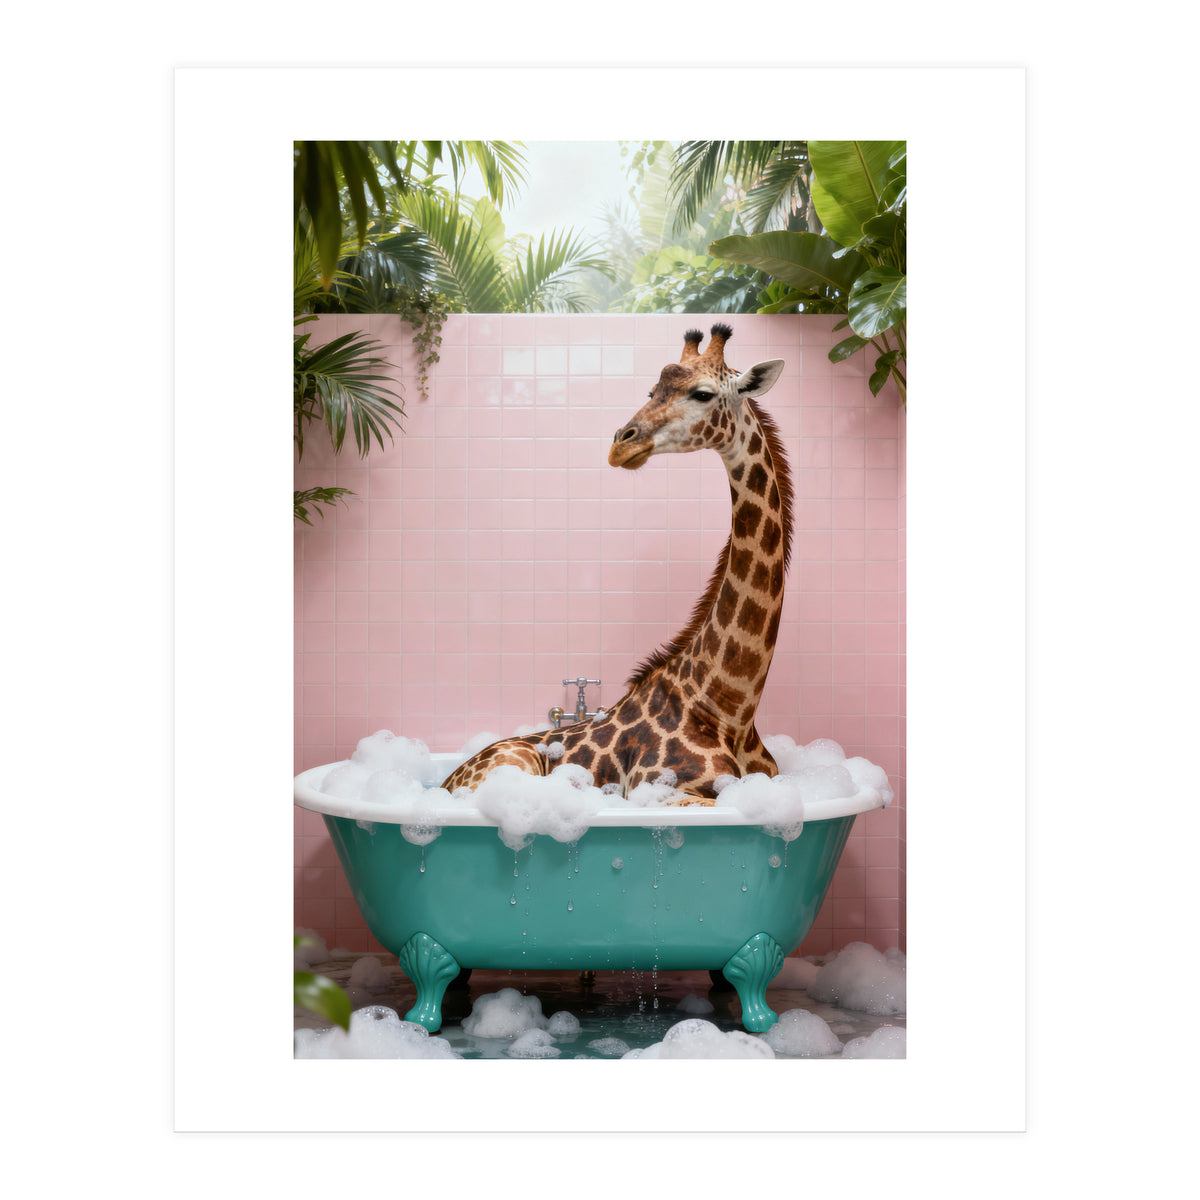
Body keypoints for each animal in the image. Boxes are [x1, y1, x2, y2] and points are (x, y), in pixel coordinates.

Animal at [442, 323, 792, 805]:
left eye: (702, 393)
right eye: (651, 390)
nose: (621, 444)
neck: (731, 709)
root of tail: (445, 781)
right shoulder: (657, 789)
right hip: (515, 764)